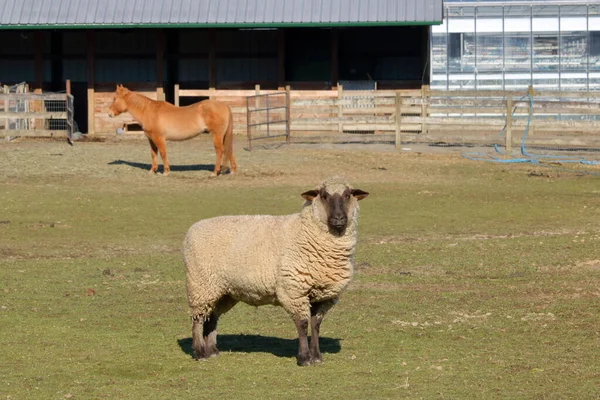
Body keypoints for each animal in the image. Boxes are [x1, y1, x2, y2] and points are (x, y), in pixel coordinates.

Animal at [108, 85, 237, 177]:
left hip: (217, 135)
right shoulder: (151, 139)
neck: (149, 111)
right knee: (229, 150)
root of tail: (224, 106)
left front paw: (165, 171)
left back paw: (215, 172)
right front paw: (152, 170)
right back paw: (232, 170)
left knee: (220, 151)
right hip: (224, 135)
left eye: (114, 99)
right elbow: (153, 154)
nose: (109, 113)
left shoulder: (159, 138)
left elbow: (162, 153)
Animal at [183, 177, 368, 368]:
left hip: (223, 291)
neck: (306, 232)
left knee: (212, 317)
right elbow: (303, 324)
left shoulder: (323, 296)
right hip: (201, 285)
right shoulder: (294, 291)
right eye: (324, 196)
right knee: (197, 319)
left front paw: (317, 356)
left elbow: (316, 325)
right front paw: (304, 358)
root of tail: (192, 229)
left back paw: (212, 351)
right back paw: (200, 352)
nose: (339, 218)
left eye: (348, 195)